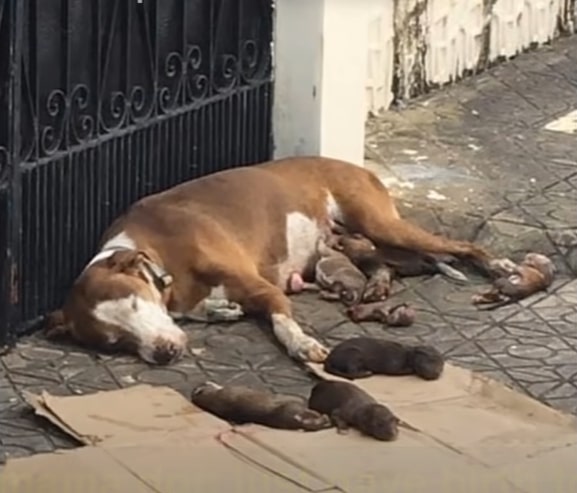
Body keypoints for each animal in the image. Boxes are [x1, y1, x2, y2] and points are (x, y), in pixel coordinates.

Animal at [42, 156, 490, 364]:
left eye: (136, 305)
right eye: (115, 342)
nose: (164, 353)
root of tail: (355, 166)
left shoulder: (261, 287)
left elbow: (281, 320)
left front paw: (303, 344)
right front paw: (220, 310)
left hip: (381, 223)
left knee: (463, 248)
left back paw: (497, 269)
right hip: (365, 241)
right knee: (390, 263)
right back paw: (378, 285)